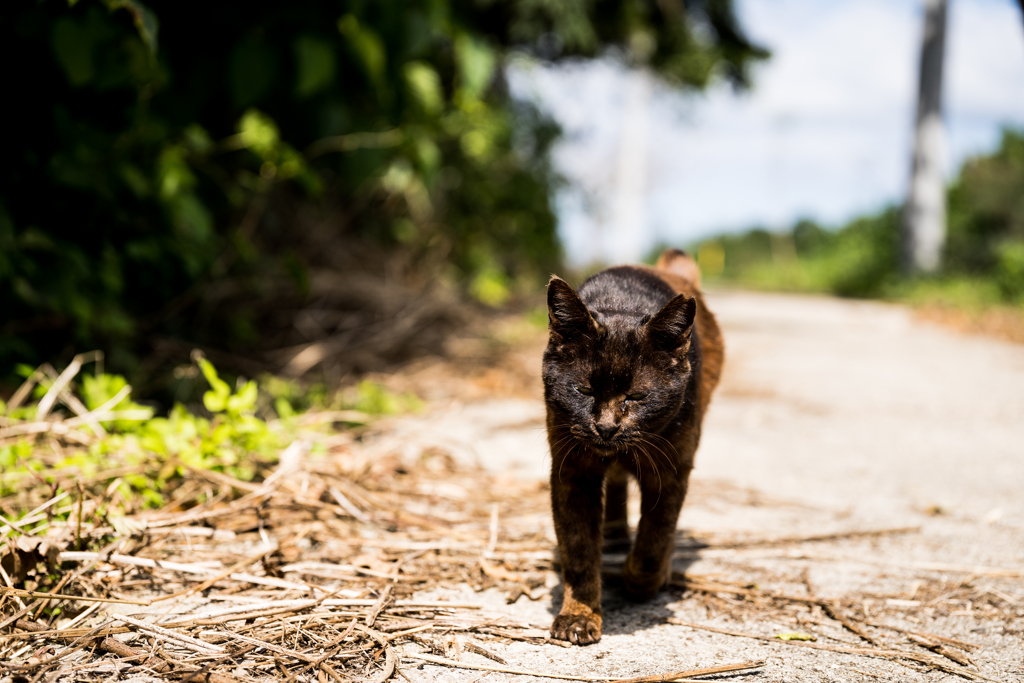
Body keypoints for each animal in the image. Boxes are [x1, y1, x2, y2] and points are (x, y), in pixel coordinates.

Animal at [540, 248, 724, 643]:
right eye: (583, 390)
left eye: (637, 396)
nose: (606, 427)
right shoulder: (571, 470)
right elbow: (577, 548)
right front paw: (579, 615)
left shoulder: (670, 470)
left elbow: (655, 539)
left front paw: (641, 581)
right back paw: (612, 534)